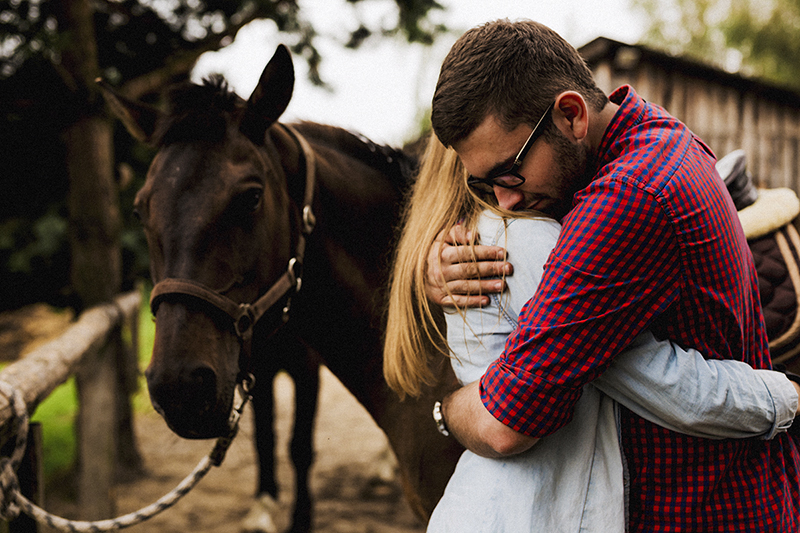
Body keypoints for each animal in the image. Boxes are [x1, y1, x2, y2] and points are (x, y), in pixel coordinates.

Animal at [100, 46, 462, 532]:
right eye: (141, 210)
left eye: (251, 197)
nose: (179, 387)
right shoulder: (256, 368)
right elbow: (265, 438)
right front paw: (263, 509)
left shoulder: (303, 369)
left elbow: (299, 446)